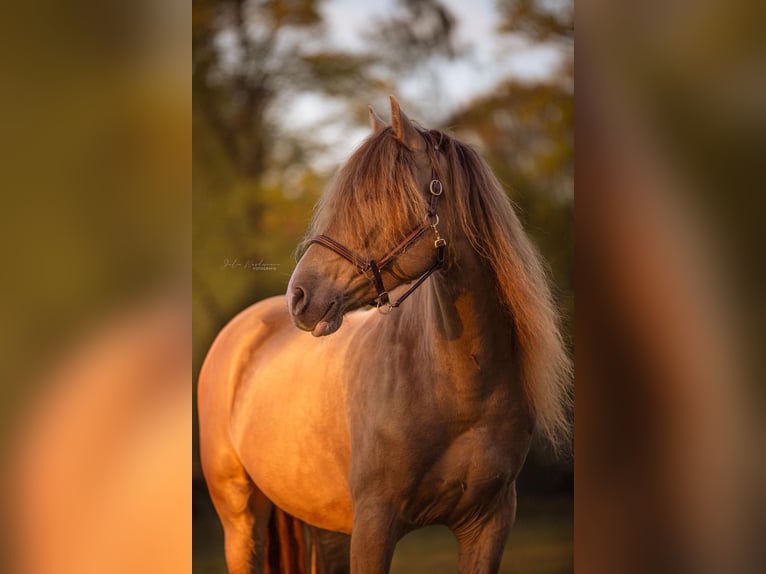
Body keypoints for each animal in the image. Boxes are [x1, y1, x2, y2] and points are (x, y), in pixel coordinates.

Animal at [198, 96, 572, 574]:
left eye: (375, 197)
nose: (299, 297)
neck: (456, 387)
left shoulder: (489, 523)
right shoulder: (375, 525)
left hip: (325, 524)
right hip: (242, 523)